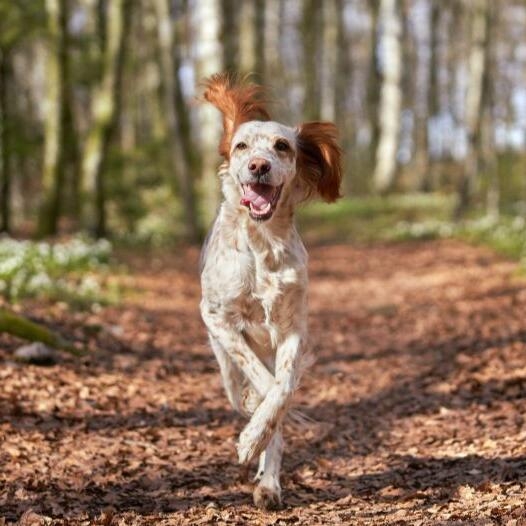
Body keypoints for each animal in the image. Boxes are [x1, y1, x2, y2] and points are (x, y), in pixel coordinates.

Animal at [199, 74, 342, 512]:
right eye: (241, 146)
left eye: (281, 146)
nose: (258, 166)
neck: (263, 245)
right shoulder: (217, 317)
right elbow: (264, 385)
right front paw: (251, 433)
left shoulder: (293, 329)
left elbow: (282, 389)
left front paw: (256, 437)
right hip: (222, 361)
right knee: (241, 385)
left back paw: (269, 484)